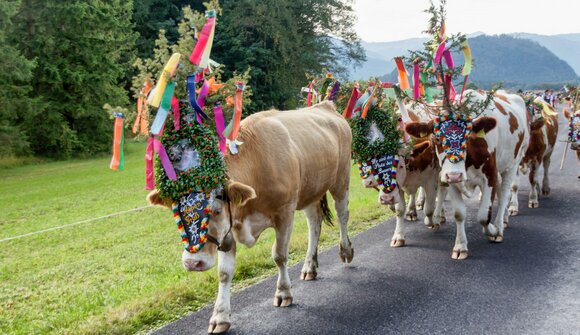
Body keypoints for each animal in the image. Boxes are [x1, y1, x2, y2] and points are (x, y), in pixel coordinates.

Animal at [146, 101, 354, 334]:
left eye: (216, 211)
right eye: (178, 216)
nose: (193, 263)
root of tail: (325, 105)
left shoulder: (285, 212)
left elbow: (279, 255)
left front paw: (283, 292)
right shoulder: (228, 228)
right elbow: (224, 273)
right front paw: (220, 316)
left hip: (341, 178)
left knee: (342, 214)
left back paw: (346, 251)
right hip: (311, 189)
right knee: (314, 223)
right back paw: (310, 266)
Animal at [404, 90, 532, 260]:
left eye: (467, 137)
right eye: (437, 139)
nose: (455, 175)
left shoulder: (490, 176)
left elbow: (484, 216)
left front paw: (492, 230)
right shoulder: (451, 180)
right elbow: (459, 214)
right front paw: (460, 246)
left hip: (513, 163)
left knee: (505, 194)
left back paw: (499, 225)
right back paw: (504, 219)